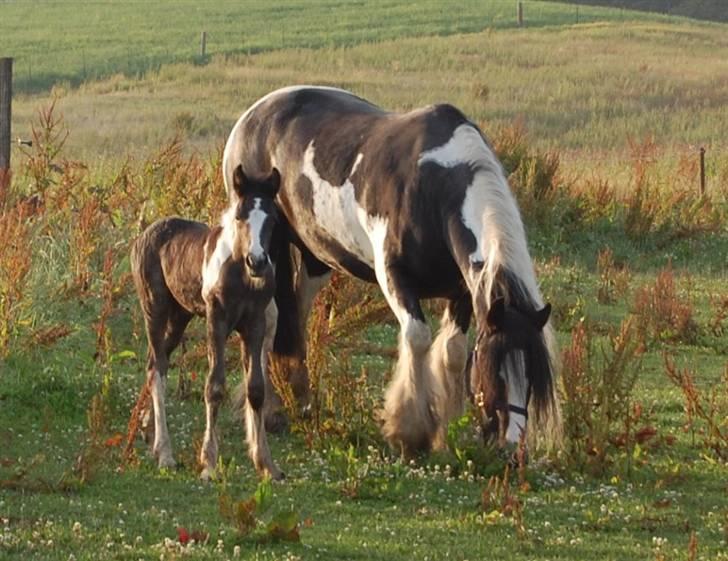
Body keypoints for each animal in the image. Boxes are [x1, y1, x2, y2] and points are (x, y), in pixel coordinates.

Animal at [131, 164, 282, 480]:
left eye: (272, 219)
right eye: (240, 216)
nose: (257, 261)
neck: (239, 272)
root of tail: (146, 232)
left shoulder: (255, 323)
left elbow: (256, 389)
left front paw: (267, 465)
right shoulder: (217, 320)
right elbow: (214, 387)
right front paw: (209, 465)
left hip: (180, 316)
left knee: (155, 363)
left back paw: (151, 437)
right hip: (155, 309)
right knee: (158, 367)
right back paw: (166, 454)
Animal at [225, 85, 560, 458]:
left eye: (531, 377)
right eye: (494, 370)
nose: (512, 449)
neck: (432, 188)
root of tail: (253, 115)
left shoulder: (461, 291)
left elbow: (453, 352)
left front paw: (445, 432)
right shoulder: (395, 279)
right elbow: (417, 338)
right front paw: (409, 431)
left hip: (315, 257)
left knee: (295, 314)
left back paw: (300, 398)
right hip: (267, 251)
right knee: (271, 319)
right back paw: (271, 409)